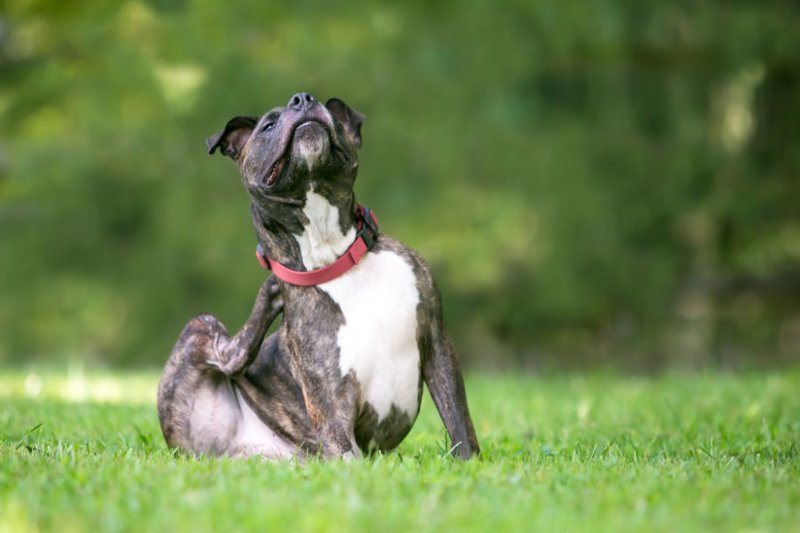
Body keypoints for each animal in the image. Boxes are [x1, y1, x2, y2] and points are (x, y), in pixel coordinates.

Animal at [159, 91, 478, 458]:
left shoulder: (438, 344)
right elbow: (348, 454)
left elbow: (460, 423)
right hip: (199, 328)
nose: (302, 98)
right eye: (268, 125)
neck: (335, 257)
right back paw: (270, 296)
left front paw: (468, 464)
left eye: (333, 114)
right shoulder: (331, 404)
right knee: (228, 355)